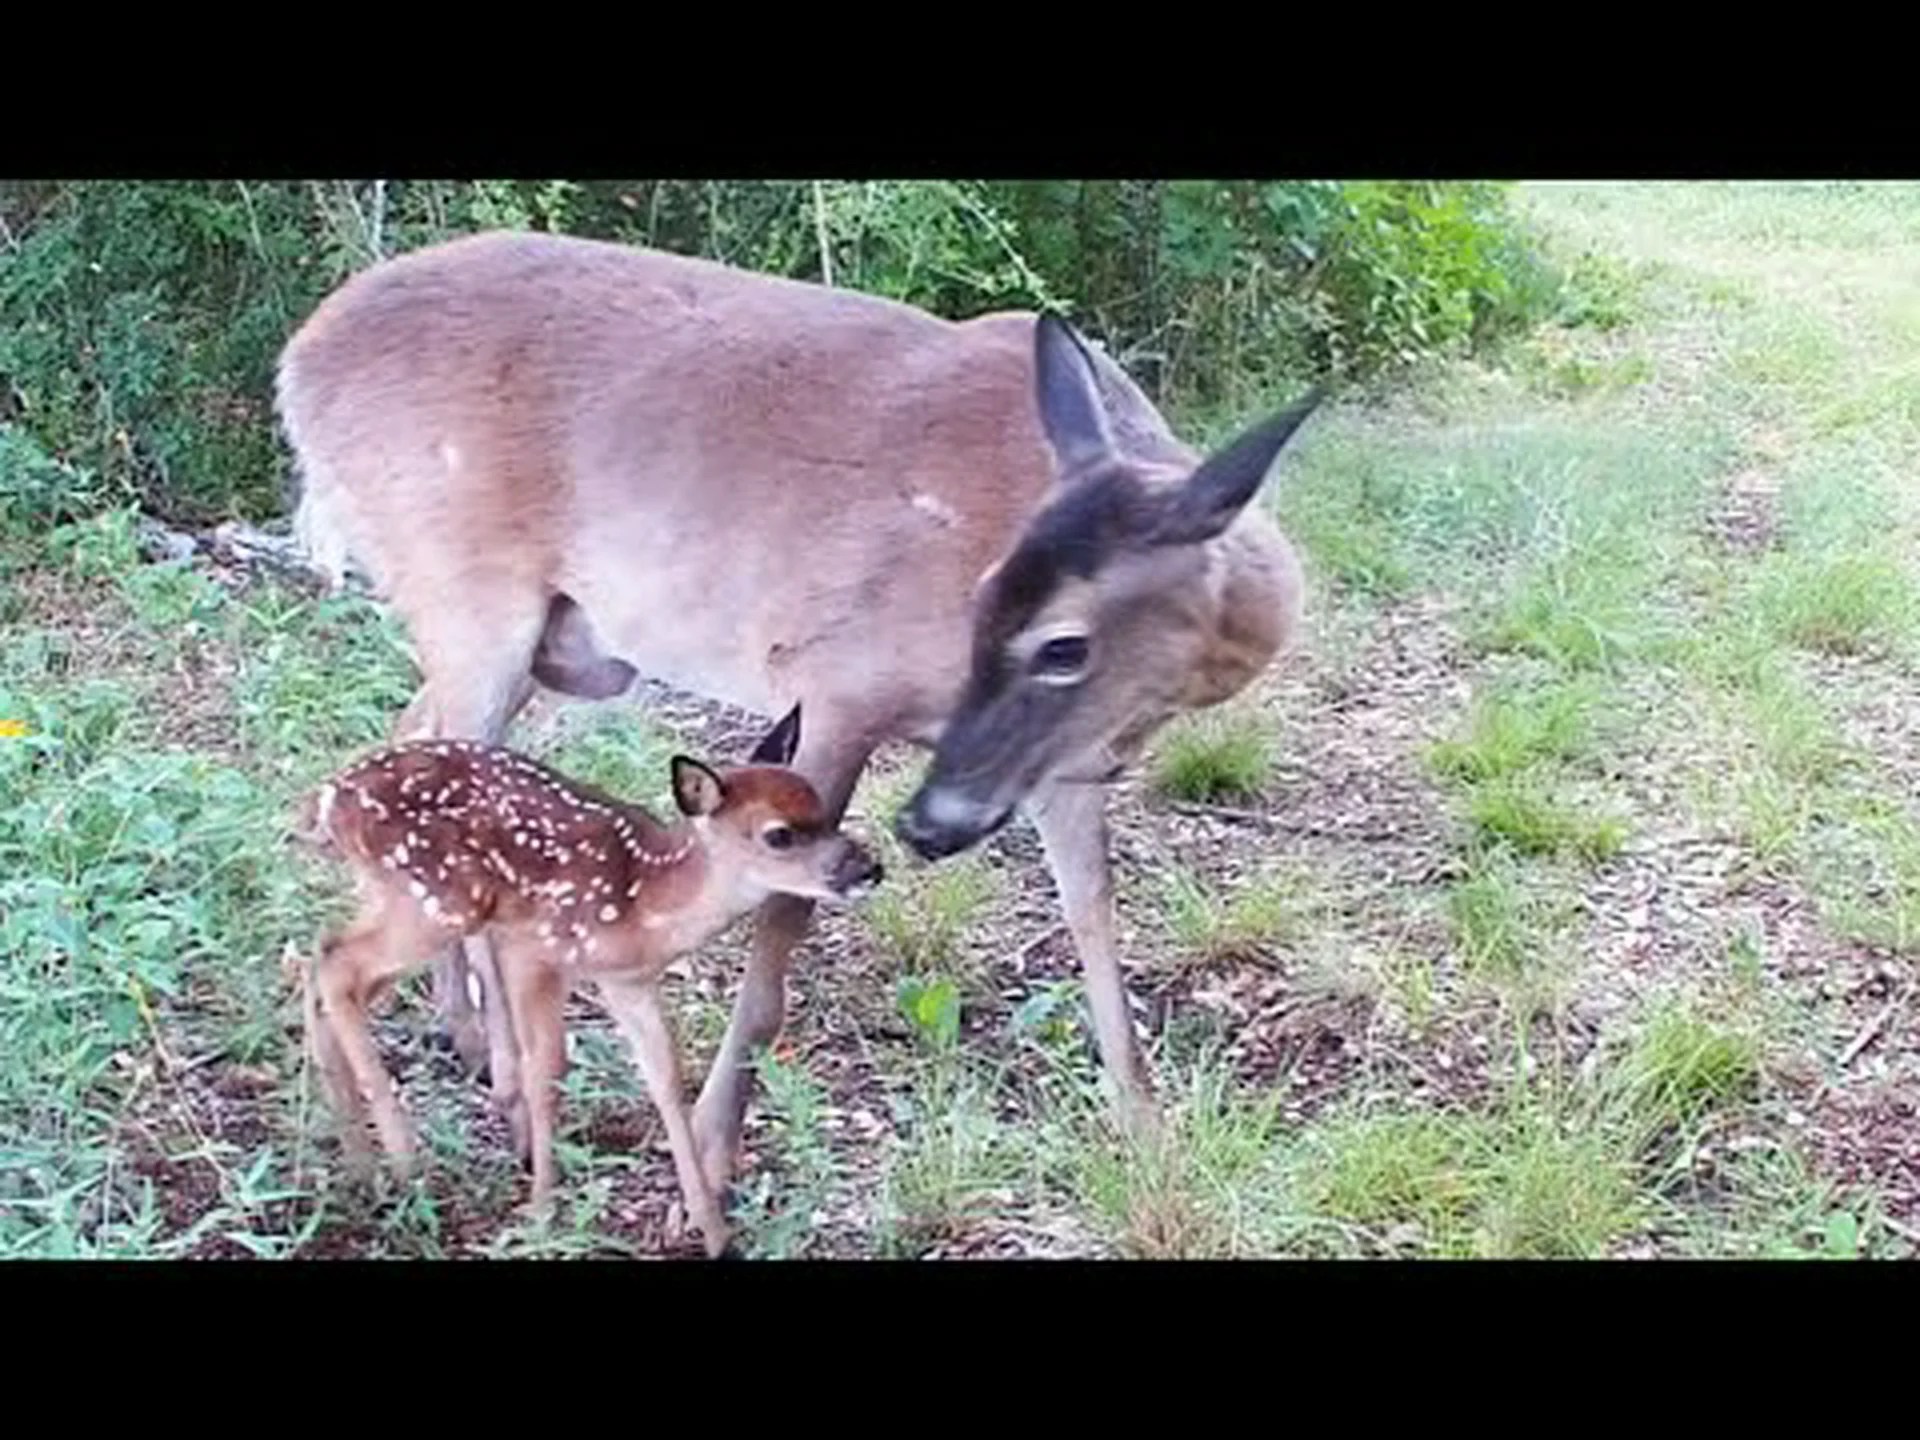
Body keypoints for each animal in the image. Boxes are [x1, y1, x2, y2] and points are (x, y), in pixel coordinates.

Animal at [294, 703, 882, 1257]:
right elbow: (546, 1071)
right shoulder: (533, 947)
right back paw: (405, 1164)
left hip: (397, 898)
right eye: (779, 835)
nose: (869, 870)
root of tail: (327, 800)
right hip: (441, 900)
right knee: (339, 967)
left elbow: (666, 1079)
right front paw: (542, 1214)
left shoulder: (626, 980)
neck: (645, 901)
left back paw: (358, 1163)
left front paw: (716, 1235)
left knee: (321, 957)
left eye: (825, 812)